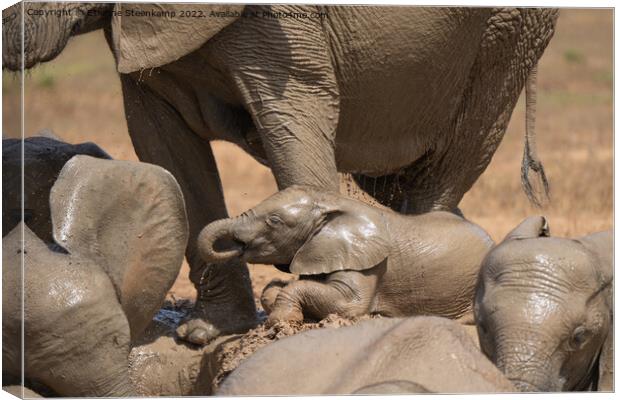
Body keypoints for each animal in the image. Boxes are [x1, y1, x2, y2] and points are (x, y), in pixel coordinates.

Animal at [200, 185, 494, 324]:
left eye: (274, 221)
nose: (236, 246)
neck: (333, 202)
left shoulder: (369, 264)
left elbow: (348, 304)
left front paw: (282, 320)